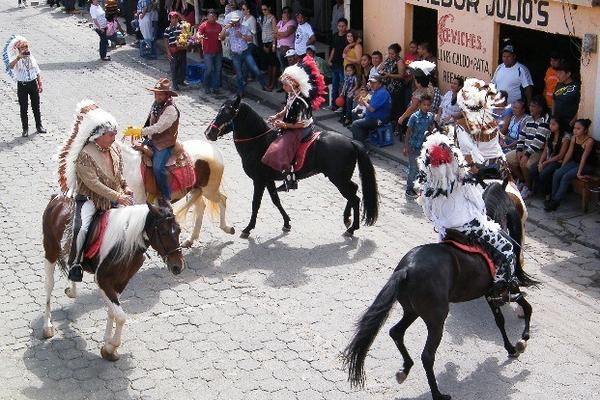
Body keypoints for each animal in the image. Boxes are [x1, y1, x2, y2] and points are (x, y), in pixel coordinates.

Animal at [42, 195, 184, 360]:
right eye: (163, 232)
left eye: (179, 230)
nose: (178, 266)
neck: (127, 242)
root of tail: (59, 198)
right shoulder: (103, 280)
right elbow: (121, 316)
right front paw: (110, 348)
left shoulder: (121, 281)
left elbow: (112, 311)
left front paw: (107, 341)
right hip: (50, 251)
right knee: (49, 285)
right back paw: (47, 326)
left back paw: (72, 289)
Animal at [204, 96, 378, 238]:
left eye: (228, 113)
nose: (208, 133)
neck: (259, 143)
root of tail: (351, 141)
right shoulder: (268, 180)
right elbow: (276, 200)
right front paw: (286, 222)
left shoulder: (259, 180)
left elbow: (255, 204)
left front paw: (248, 228)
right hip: (341, 179)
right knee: (354, 191)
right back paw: (347, 218)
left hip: (338, 179)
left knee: (354, 197)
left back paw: (352, 228)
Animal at [342, 182, 540, 400]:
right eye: (511, 202)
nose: (522, 223)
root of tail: (406, 268)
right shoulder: (508, 287)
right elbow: (527, 308)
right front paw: (522, 340)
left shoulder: (491, 294)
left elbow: (500, 320)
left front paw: (511, 348)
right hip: (436, 320)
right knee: (427, 355)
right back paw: (437, 393)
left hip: (412, 311)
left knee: (396, 332)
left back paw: (405, 369)